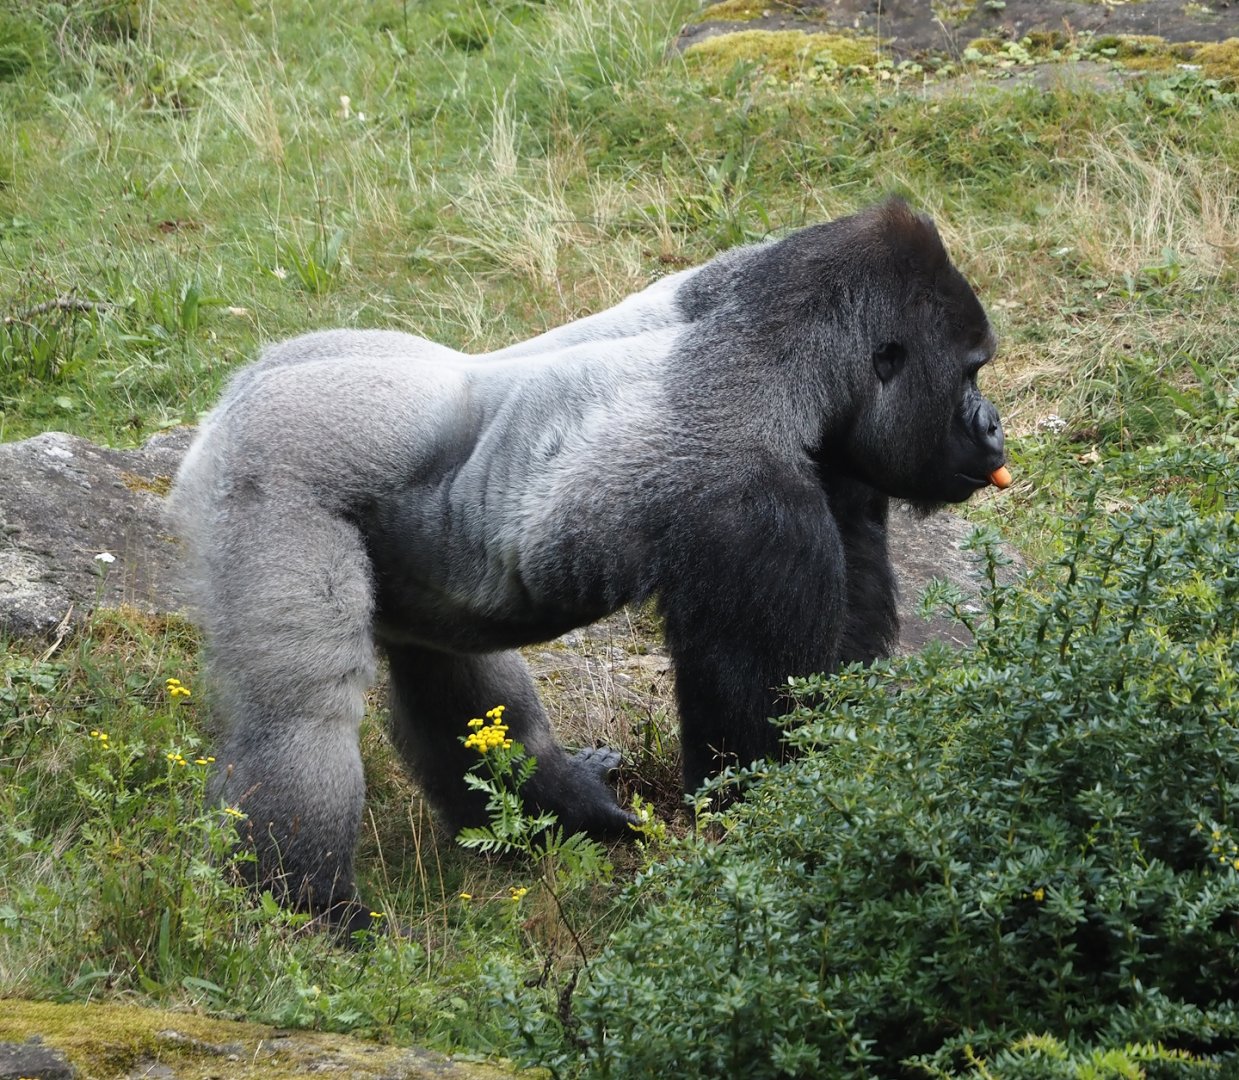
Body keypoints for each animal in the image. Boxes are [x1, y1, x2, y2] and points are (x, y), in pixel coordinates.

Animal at [169, 198, 1005, 931]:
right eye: (968, 372)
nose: (994, 427)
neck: (771, 343)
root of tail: (235, 394)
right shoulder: (753, 505)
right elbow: (753, 745)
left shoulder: (838, 457)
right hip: (272, 470)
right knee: (299, 714)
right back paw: (308, 905)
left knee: (451, 672)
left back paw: (557, 809)